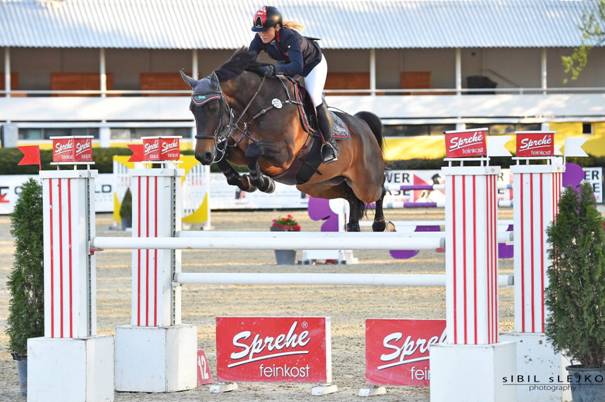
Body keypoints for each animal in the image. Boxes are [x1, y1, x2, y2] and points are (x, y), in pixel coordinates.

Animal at [179, 47, 386, 232]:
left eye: (213, 108)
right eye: (192, 109)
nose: (202, 155)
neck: (261, 108)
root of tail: (362, 124)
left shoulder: (284, 155)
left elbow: (253, 151)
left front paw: (263, 182)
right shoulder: (238, 149)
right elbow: (225, 158)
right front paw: (244, 181)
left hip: (366, 183)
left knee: (379, 191)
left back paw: (380, 224)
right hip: (321, 185)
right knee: (352, 198)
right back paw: (353, 227)